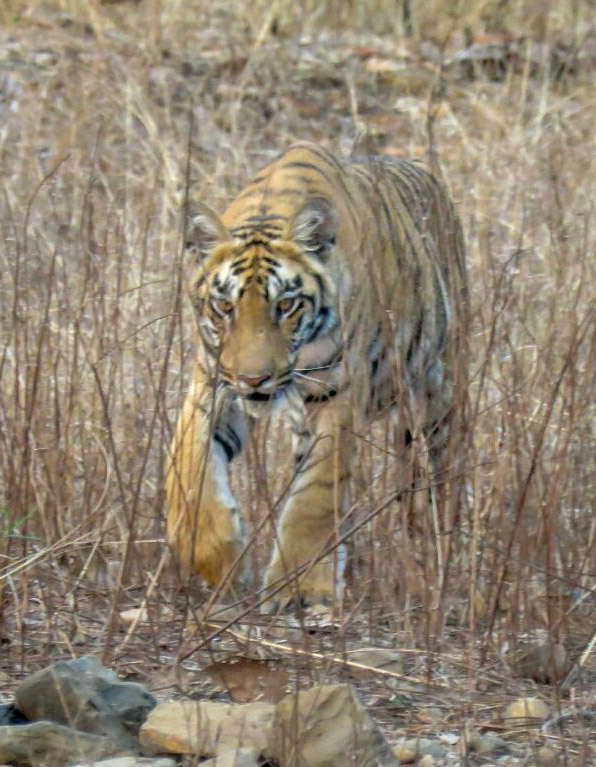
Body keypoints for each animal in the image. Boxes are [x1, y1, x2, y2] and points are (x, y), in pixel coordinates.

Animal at [166, 141, 467, 609]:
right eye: (226, 307)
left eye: (285, 305)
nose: (254, 380)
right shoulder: (212, 382)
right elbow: (188, 466)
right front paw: (220, 560)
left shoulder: (335, 395)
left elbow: (315, 496)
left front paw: (300, 588)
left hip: (439, 390)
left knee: (439, 476)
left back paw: (437, 551)